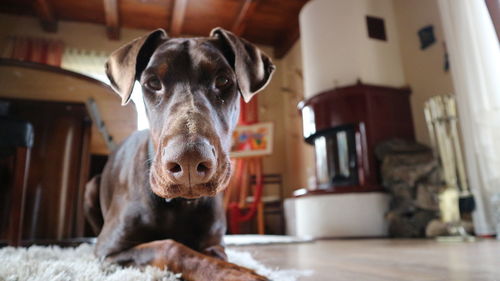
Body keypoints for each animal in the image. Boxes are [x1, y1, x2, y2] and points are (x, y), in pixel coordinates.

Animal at [84, 26, 276, 280]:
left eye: (223, 80)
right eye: (153, 83)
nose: (189, 161)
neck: (181, 204)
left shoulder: (213, 243)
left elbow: (214, 256)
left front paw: (236, 269)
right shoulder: (109, 251)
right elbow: (170, 247)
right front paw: (242, 274)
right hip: (91, 188)